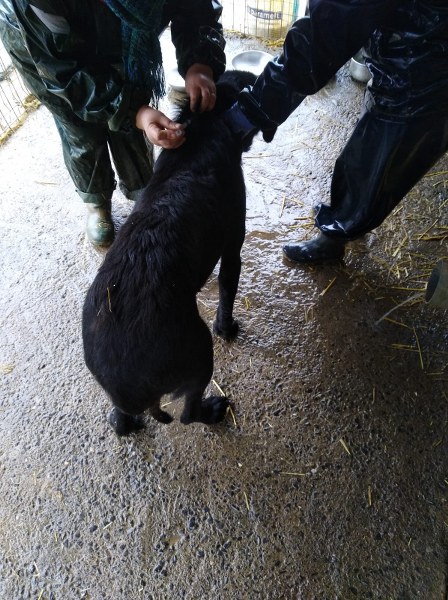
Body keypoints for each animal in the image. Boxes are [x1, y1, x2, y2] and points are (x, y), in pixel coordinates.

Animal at [81, 69, 256, 436]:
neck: (203, 129)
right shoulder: (233, 246)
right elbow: (227, 292)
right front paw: (227, 328)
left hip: (120, 398)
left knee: (118, 420)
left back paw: (127, 423)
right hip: (200, 353)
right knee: (188, 413)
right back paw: (214, 410)